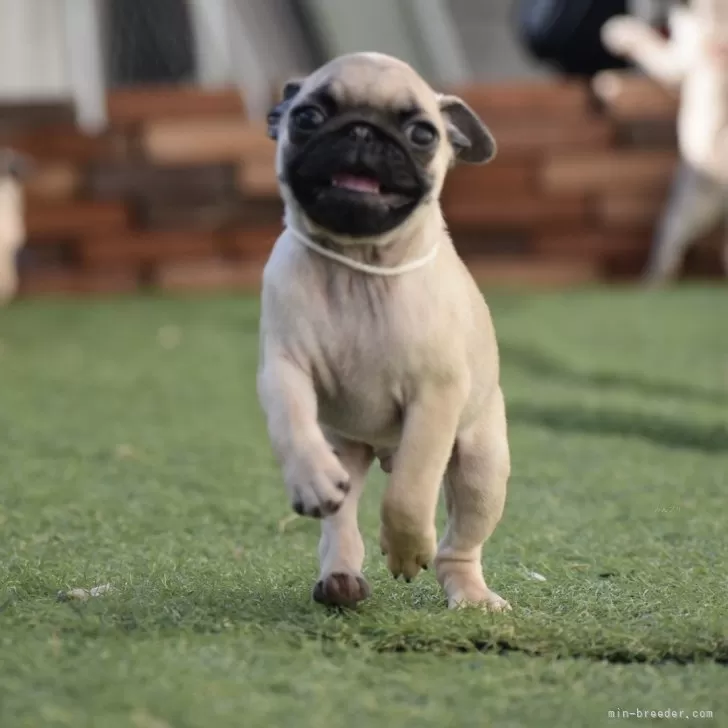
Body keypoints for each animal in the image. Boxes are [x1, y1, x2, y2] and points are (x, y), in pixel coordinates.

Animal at [258, 51, 512, 612]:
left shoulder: (436, 395)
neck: (360, 267)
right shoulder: (284, 367)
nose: (362, 130)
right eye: (307, 117)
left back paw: (470, 593)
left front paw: (404, 546)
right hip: (346, 450)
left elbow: (412, 488)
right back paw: (340, 577)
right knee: (341, 519)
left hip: (482, 467)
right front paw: (308, 477)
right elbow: (292, 421)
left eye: (422, 133)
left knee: (458, 543)